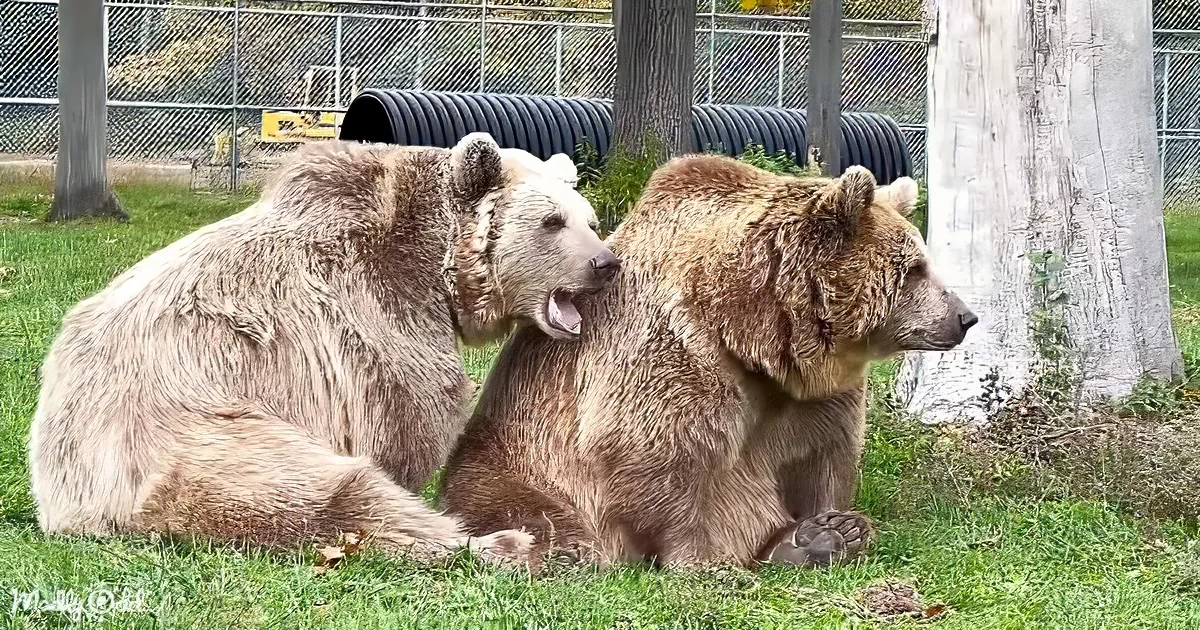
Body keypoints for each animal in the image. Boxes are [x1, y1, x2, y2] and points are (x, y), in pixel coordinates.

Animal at [27, 132, 619, 565]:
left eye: (590, 220)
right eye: (551, 222)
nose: (605, 262)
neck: (435, 265)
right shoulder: (376, 315)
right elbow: (409, 411)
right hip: (197, 435)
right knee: (335, 496)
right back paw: (503, 542)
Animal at [439, 155, 977, 570]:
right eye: (915, 268)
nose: (965, 316)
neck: (752, 329)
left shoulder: (815, 394)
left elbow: (824, 455)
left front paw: (835, 526)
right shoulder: (672, 349)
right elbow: (661, 455)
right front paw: (712, 560)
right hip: (515, 462)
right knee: (528, 512)